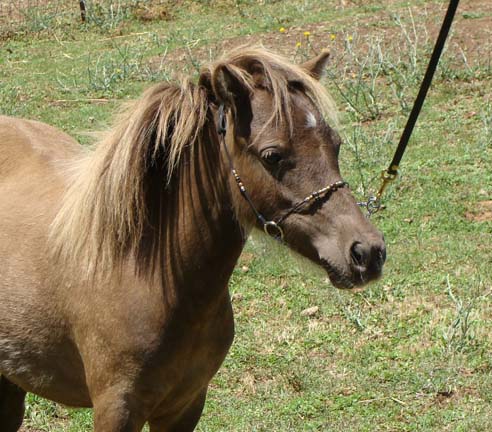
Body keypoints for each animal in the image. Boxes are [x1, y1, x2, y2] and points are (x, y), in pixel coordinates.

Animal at [0, 45, 384, 430]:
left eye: (335, 144)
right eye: (272, 155)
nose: (367, 252)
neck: (146, 272)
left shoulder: (186, 404)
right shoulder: (116, 409)